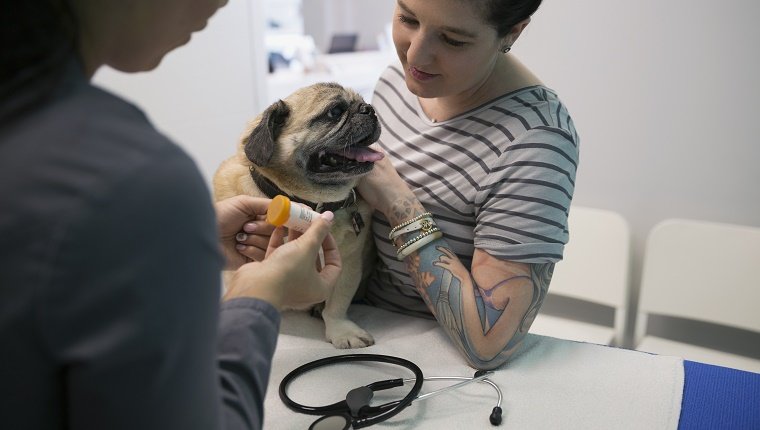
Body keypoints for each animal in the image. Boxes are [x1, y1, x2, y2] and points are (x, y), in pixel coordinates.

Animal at [212, 81, 382, 350]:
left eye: (363, 102)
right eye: (335, 112)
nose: (369, 109)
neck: (313, 203)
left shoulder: (349, 265)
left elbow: (337, 304)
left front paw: (341, 330)